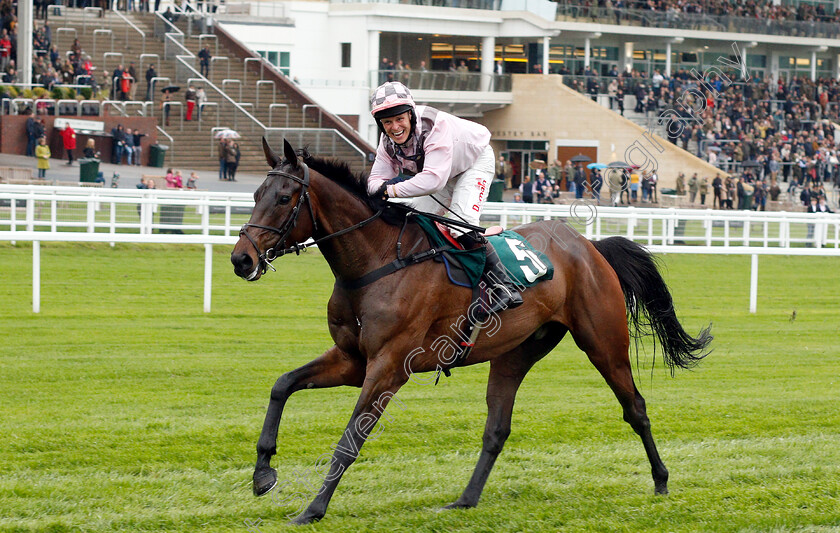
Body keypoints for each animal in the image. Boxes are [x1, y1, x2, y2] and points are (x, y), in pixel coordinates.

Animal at [230, 138, 708, 524]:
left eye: (285, 197)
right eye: (254, 194)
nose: (241, 259)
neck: (376, 262)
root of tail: (589, 246)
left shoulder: (389, 366)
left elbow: (351, 437)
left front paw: (312, 508)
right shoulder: (352, 359)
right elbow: (282, 384)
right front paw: (263, 473)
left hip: (603, 342)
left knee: (636, 408)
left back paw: (661, 480)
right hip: (516, 353)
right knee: (497, 429)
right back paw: (465, 499)